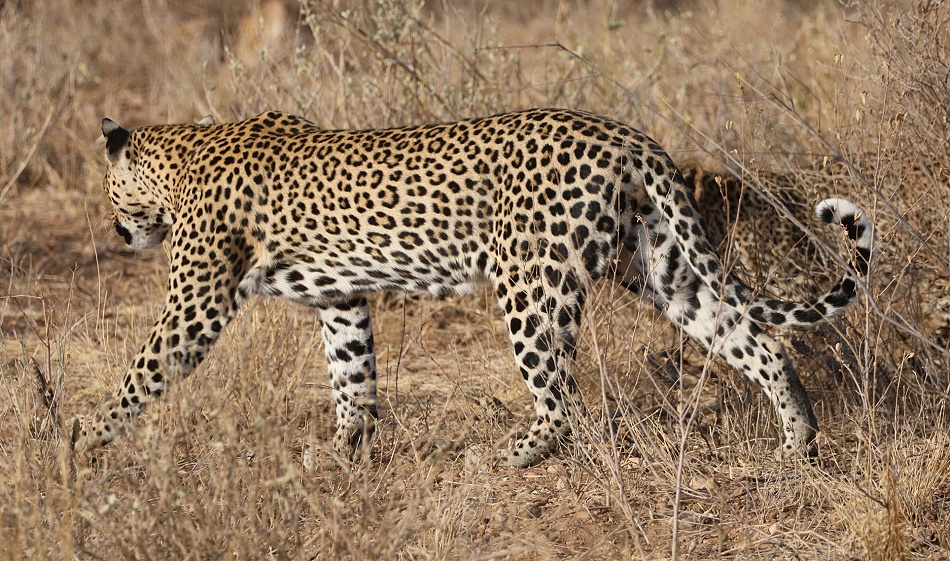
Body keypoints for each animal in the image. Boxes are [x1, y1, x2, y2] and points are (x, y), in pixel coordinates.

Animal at [70, 108, 874, 467]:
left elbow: (145, 369)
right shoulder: (341, 300)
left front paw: (83, 438)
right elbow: (351, 372)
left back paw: (515, 454)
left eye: (108, 191)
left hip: (531, 283)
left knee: (560, 397)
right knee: (755, 339)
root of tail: (628, 136)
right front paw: (346, 446)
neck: (179, 159)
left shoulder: (197, 300)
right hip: (663, 268)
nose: (117, 232)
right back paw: (797, 441)